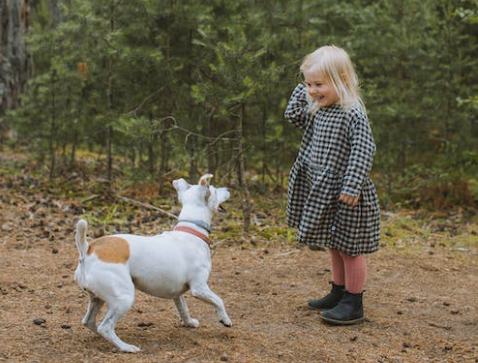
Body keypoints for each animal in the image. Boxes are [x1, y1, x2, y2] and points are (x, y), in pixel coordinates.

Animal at [74, 175, 232, 354]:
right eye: (214, 189)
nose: (228, 189)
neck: (191, 229)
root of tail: (87, 250)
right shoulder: (199, 288)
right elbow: (219, 300)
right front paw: (225, 319)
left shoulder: (177, 294)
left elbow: (183, 310)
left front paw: (189, 322)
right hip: (123, 299)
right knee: (105, 327)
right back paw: (126, 347)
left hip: (97, 299)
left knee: (89, 322)